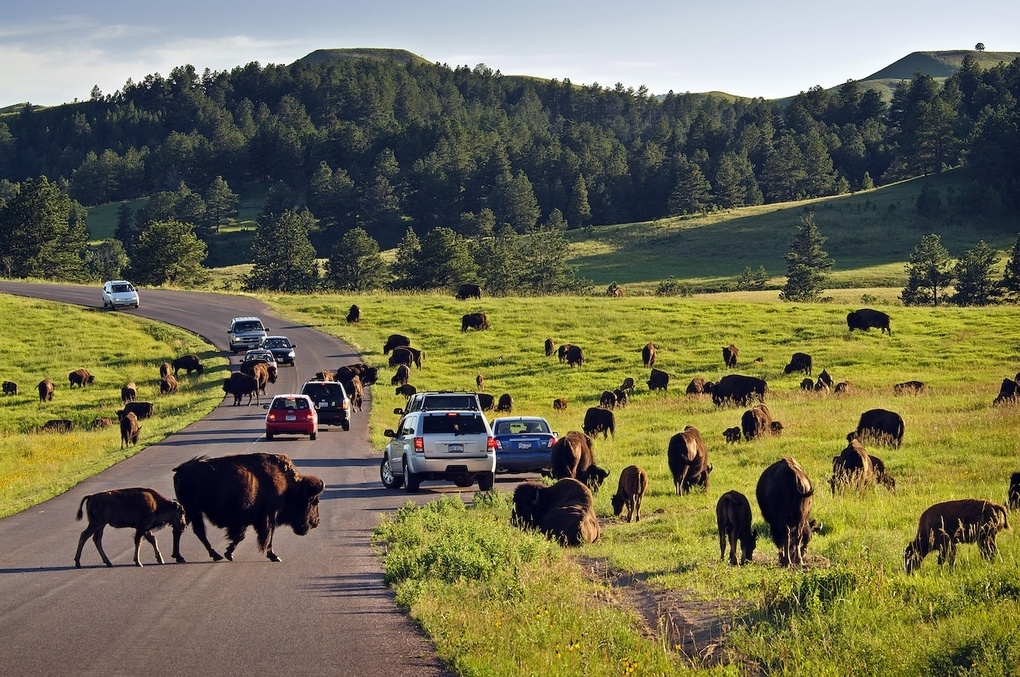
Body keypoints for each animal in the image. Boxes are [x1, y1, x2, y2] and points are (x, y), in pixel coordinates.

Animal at [169, 452, 324, 562]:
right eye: (315, 502)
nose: (316, 522)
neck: (288, 485)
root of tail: (181, 469)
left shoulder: (248, 520)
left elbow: (240, 536)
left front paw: (229, 553)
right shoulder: (268, 517)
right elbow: (267, 536)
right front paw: (274, 556)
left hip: (194, 512)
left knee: (196, 532)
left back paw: (213, 555)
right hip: (191, 510)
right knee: (182, 530)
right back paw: (182, 557)